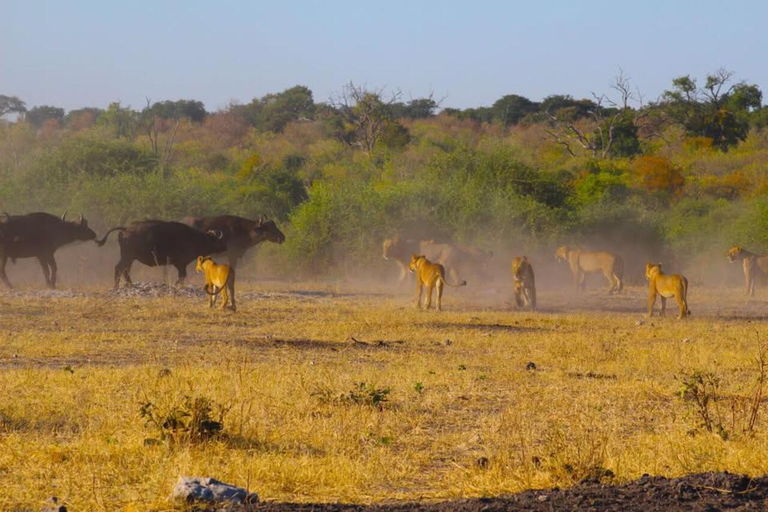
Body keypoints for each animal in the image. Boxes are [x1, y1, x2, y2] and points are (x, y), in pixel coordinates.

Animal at [96, 221, 228, 290]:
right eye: (216, 240)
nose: (225, 247)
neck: (195, 238)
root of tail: (126, 229)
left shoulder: (181, 265)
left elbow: (182, 276)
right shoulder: (181, 264)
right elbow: (182, 276)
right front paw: (176, 285)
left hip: (129, 258)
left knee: (124, 269)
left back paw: (128, 284)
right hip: (127, 257)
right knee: (120, 268)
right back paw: (118, 286)